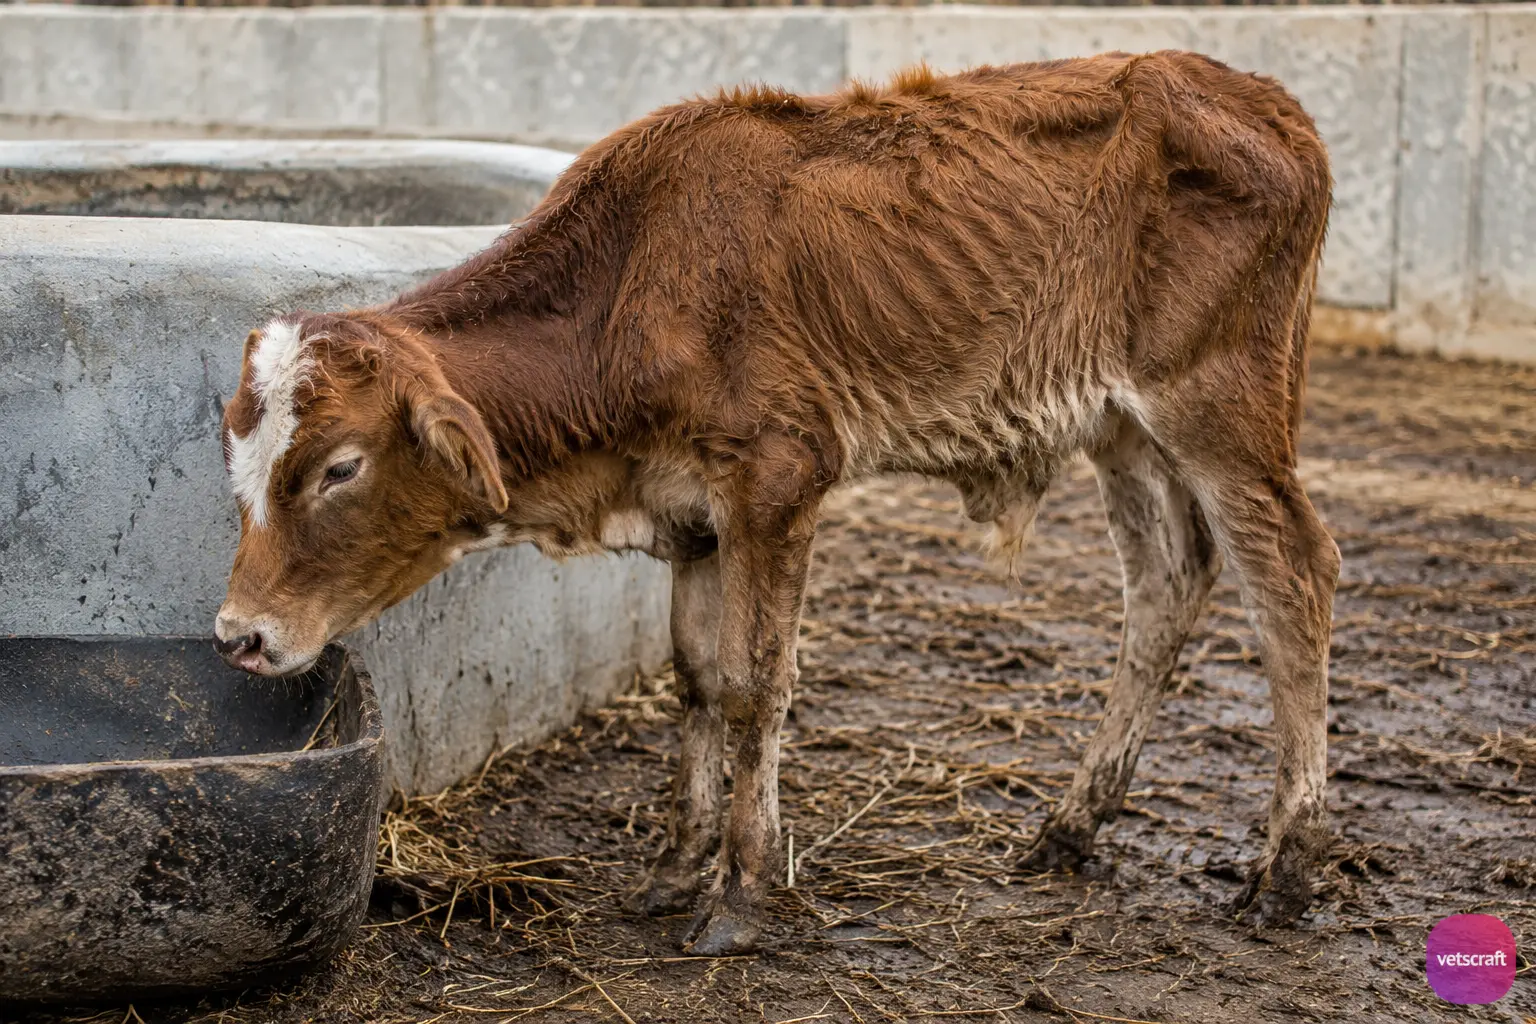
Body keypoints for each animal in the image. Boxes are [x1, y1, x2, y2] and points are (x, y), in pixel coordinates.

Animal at [214, 52, 1337, 955]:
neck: (627, 290)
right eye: (242, 460)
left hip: (1220, 402)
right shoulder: (693, 517)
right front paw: (677, 867)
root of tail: (1261, 95)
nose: (239, 634)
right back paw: (1072, 825)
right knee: (1168, 575)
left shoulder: (779, 480)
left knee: (1294, 577)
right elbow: (699, 680)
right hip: (1120, 425)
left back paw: (1289, 863)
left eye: (340, 468)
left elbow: (758, 684)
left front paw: (746, 893)